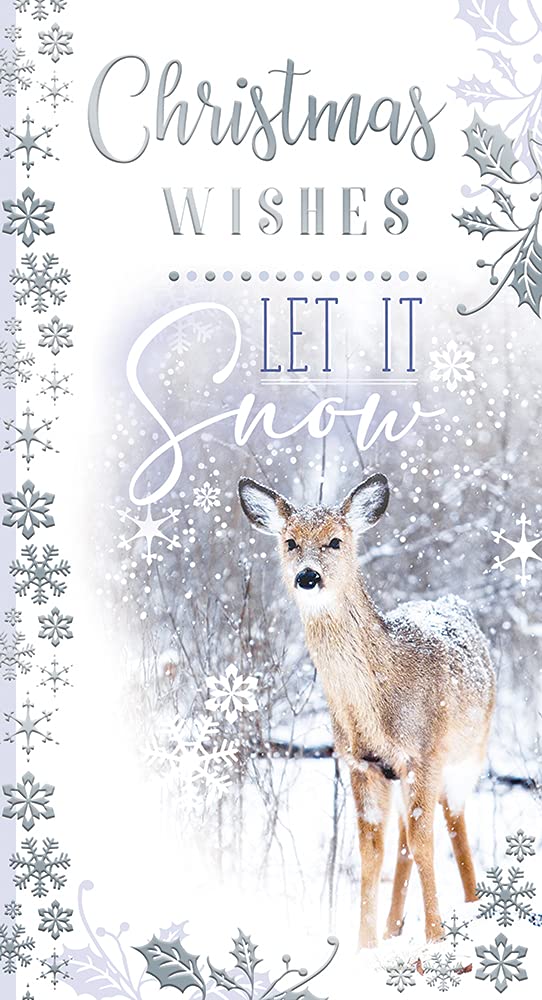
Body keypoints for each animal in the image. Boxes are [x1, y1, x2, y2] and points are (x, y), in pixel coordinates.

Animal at [238, 473, 495, 948]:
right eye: (290, 541)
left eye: (336, 541)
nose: (307, 576)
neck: (378, 705)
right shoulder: (361, 762)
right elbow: (371, 851)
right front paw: (365, 946)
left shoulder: (424, 754)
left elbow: (426, 841)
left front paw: (435, 939)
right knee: (404, 839)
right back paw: (395, 928)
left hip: (469, 752)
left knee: (453, 822)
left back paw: (473, 903)